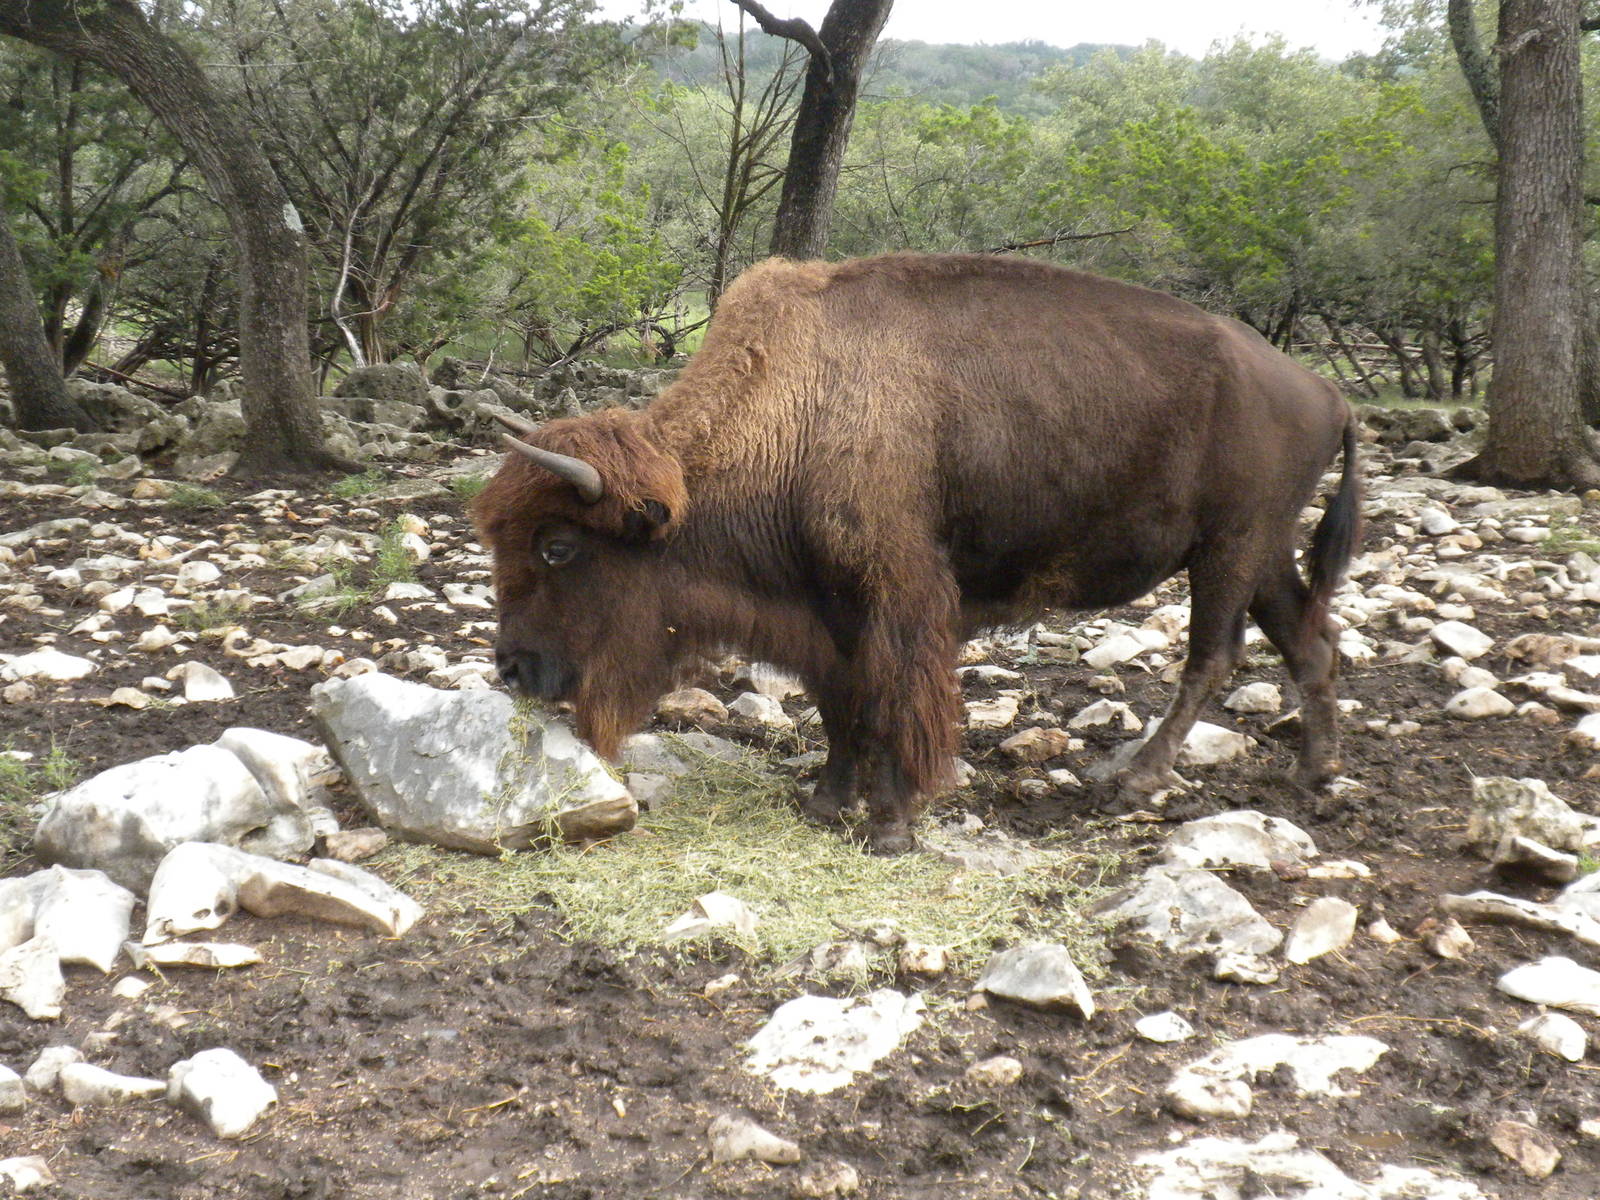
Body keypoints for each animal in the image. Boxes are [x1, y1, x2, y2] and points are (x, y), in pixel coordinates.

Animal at [474, 252, 1361, 853]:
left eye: (558, 547)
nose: (512, 667)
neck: (797, 409)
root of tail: (1327, 392)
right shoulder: (824, 613)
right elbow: (842, 704)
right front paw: (826, 801)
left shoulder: (901, 596)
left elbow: (898, 698)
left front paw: (891, 824)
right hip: (1264, 552)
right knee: (1309, 642)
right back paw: (1314, 777)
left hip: (1228, 550)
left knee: (1214, 656)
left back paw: (1135, 784)